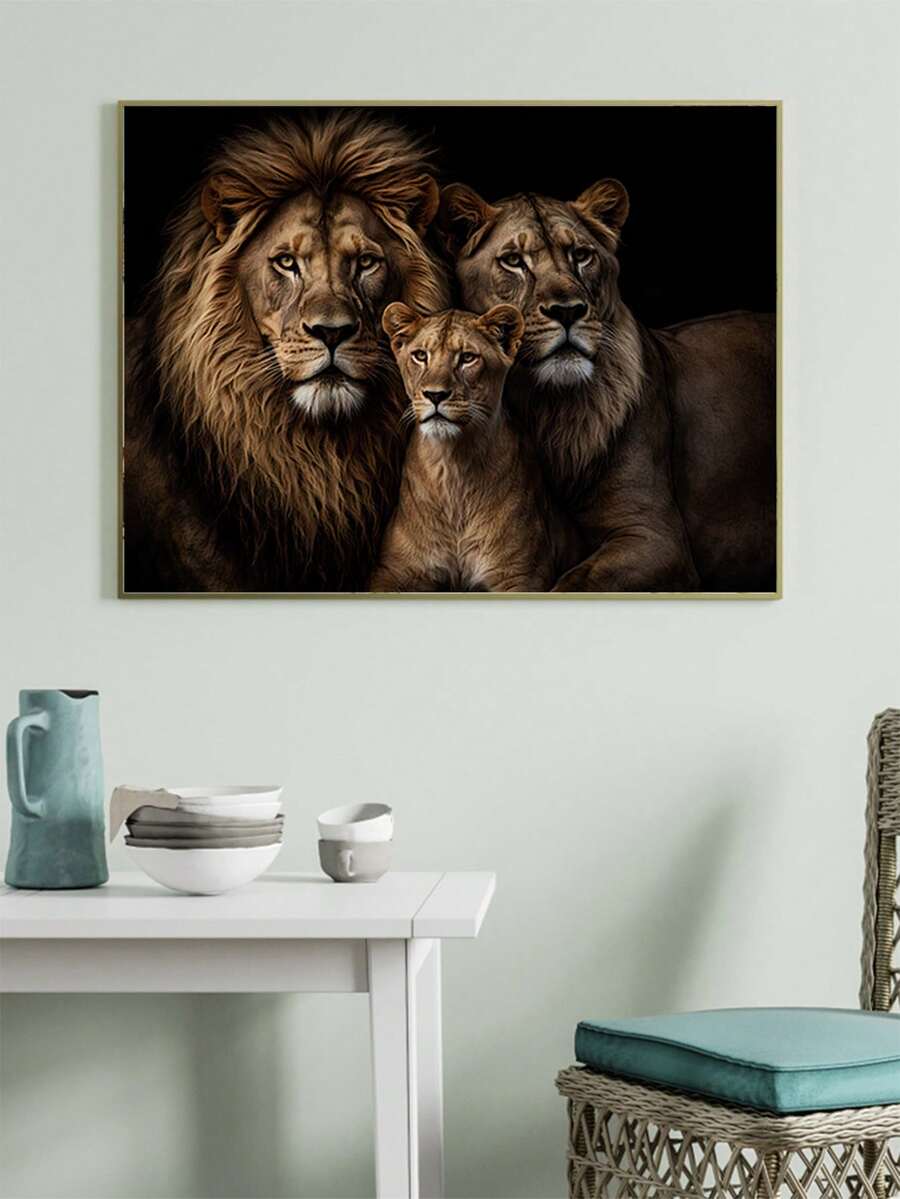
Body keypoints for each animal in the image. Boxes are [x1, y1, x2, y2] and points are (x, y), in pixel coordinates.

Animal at [370, 305, 582, 592]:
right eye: (420, 356)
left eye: (468, 358)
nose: (435, 395)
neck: (452, 467)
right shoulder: (392, 571)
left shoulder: (519, 575)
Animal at [439, 182, 776, 592]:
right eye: (514, 261)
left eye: (582, 255)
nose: (568, 311)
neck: (549, 408)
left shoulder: (654, 537)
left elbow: (572, 585)